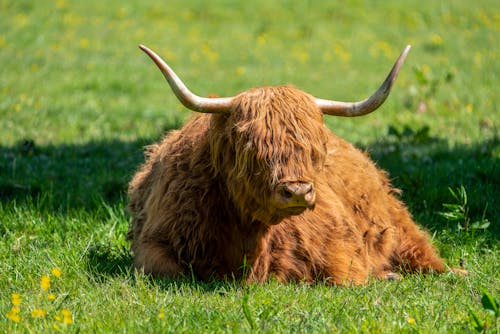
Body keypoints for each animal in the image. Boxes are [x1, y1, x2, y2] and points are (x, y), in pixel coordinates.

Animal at [128, 43, 458, 284]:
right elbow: (166, 270)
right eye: (250, 144)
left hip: (400, 225)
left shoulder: (340, 246)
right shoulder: (152, 242)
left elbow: (345, 276)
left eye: (314, 149)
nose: (298, 191)